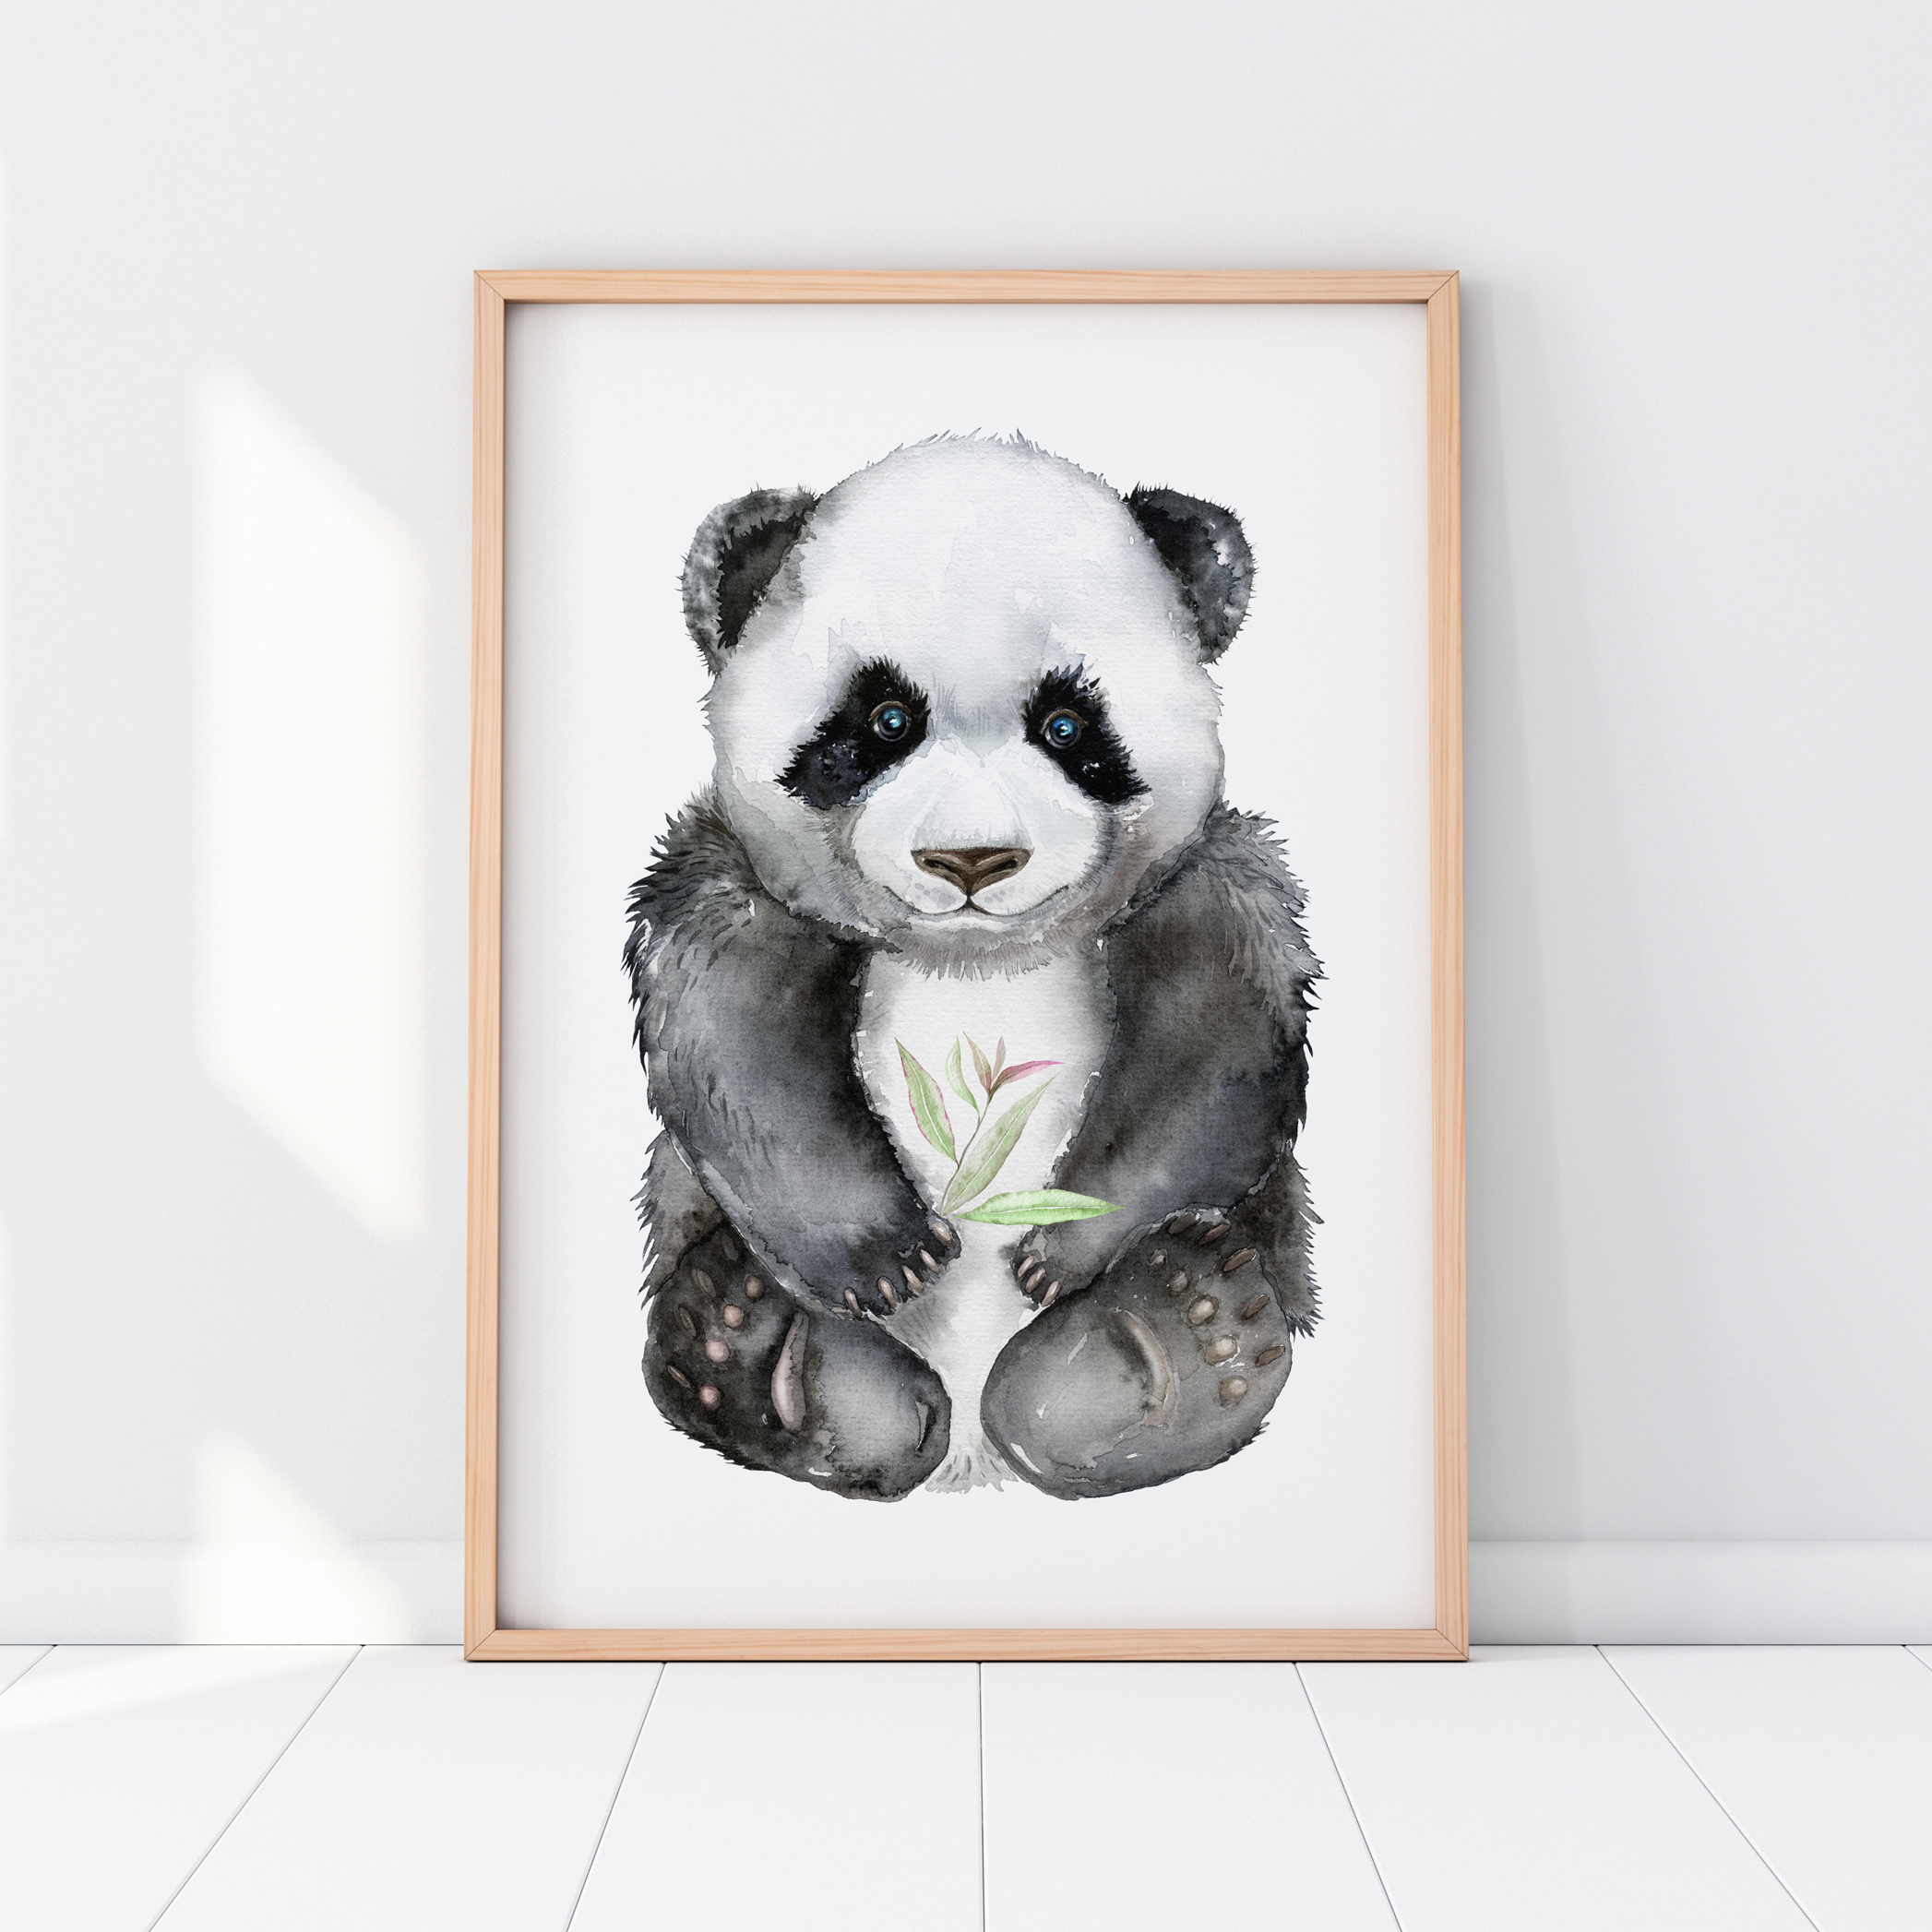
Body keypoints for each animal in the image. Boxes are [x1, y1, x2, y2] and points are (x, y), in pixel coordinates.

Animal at [626, 436, 1320, 1501]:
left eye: (1067, 726)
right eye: (884, 720)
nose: (972, 860)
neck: (973, 967)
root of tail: (972, 1462)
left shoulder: (1206, 883)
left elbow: (1214, 1049)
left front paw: (1063, 1251)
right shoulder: (734, 884)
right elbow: (732, 1040)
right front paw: (890, 1259)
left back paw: (1180, 1330)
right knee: (864, 1401)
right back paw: (751, 1344)